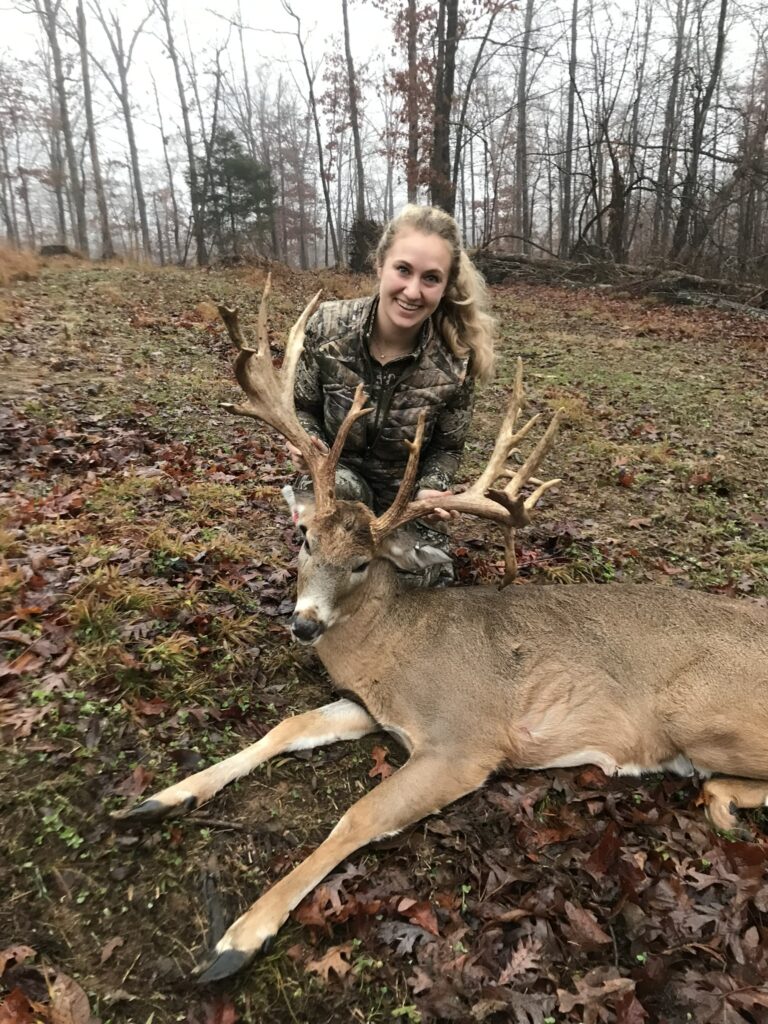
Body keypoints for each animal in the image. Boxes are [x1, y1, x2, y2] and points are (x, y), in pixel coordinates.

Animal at [113, 277, 768, 984]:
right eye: (304, 539)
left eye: (362, 562)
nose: (304, 623)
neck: (390, 645)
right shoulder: (373, 707)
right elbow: (285, 727)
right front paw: (161, 799)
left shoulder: (464, 740)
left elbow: (357, 817)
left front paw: (239, 938)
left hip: (699, 710)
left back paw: (722, 801)